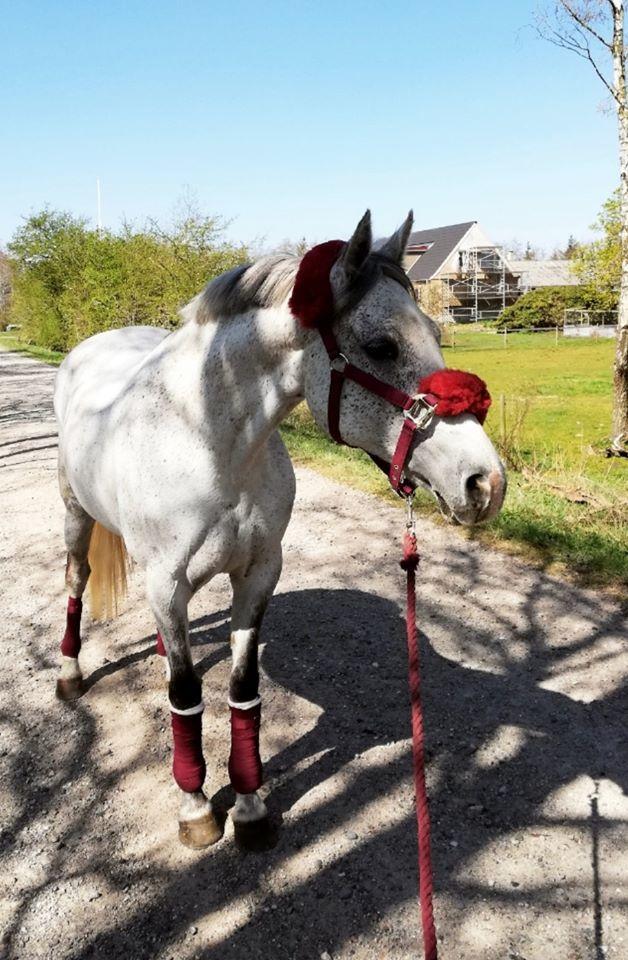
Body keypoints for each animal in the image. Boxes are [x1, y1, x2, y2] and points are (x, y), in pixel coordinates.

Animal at [52, 210, 506, 848]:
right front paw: (196, 808)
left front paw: (249, 806)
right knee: (76, 580)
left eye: (439, 335)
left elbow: (243, 692)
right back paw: (70, 673)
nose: (485, 483)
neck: (210, 443)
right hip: (76, 514)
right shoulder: (166, 585)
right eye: (381, 346)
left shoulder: (258, 576)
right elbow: (185, 696)